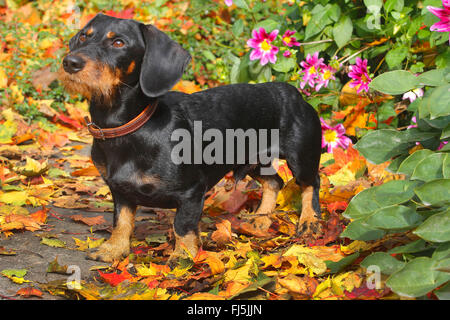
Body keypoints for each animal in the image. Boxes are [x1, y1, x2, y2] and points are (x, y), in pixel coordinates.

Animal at [58, 13, 324, 264]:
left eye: (119, 42)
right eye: (83, 37)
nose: (70, 63)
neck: (130, 128)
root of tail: (292, 91)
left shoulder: (192, 191)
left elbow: (182, 226)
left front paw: (183, 256)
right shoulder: (120, 190)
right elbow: (121, 221)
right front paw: (113, 249)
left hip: (302, 157)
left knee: (311, 184)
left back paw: (310, 222)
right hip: (253, 160)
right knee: (274, 182)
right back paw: (261, 220)